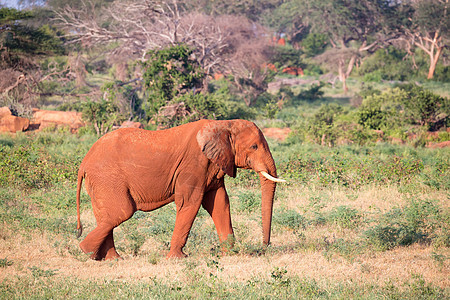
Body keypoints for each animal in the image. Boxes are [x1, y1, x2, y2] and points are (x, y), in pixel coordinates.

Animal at [75, 119, 284, 260]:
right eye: (254, 146)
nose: (264, 247)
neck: (223, 124)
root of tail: (84, 161)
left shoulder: (212, 167)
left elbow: (220, 203)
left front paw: (229, 253)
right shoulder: (193, 165)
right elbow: (190, 203)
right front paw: (178, 258)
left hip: (100, 182)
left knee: (107, 216)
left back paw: (110, 258)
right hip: (107, 178)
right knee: (122, 211)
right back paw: (86, 250)